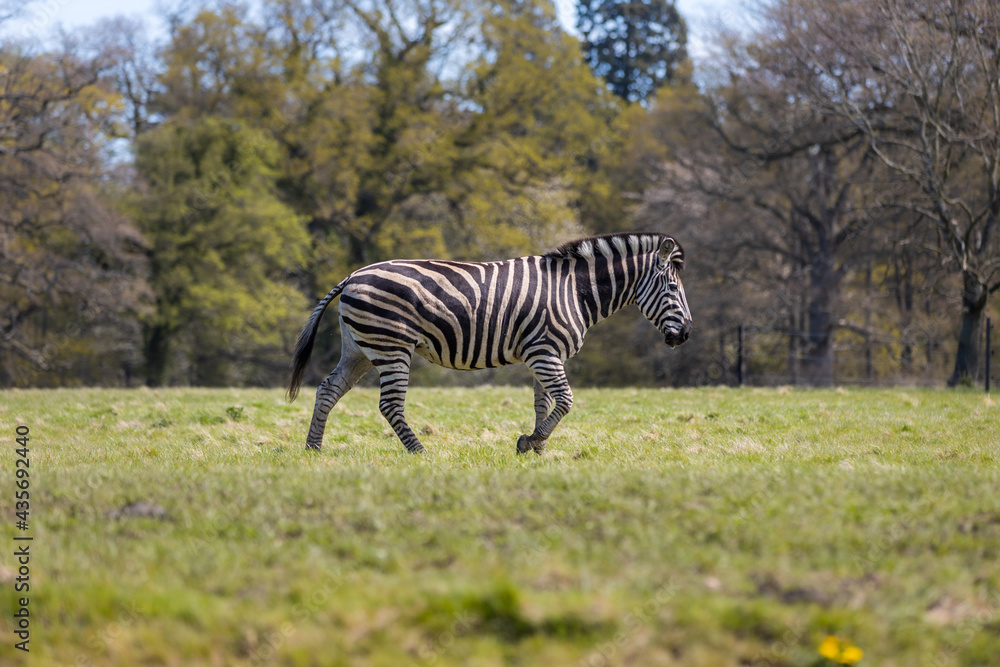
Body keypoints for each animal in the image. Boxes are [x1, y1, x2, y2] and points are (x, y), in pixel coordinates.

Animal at [287, 232, 692, 454]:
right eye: (673, 289)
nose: (686, 335)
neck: (574, 292)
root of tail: (354, 275)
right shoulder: (545, 353)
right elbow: (565, 401)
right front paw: (530, 442)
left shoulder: (544, 354)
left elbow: (543, 403)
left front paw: (538, 447)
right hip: (392, 348)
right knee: (389, 405)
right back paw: (421, 452)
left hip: (359, 349)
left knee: (328, 389)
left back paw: (313, 449)